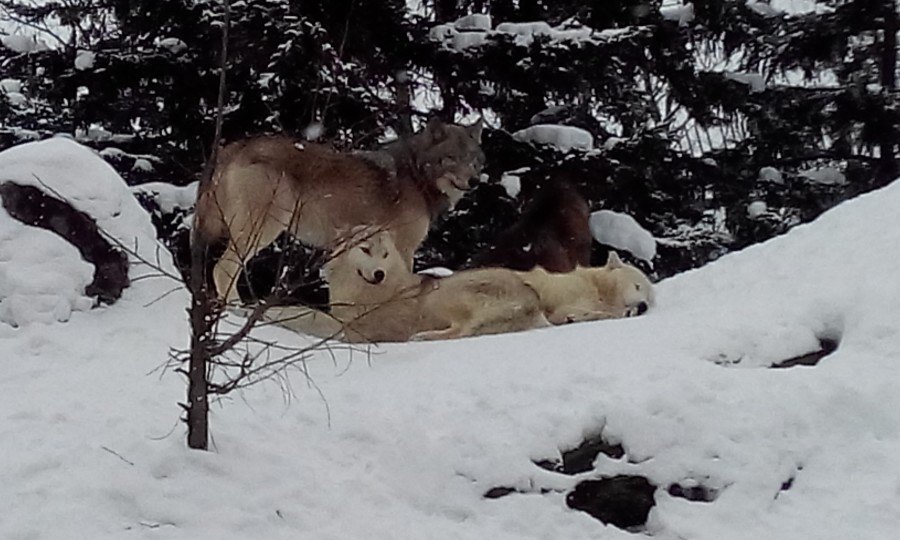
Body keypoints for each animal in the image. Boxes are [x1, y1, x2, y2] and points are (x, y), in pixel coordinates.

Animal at [197, 117, 486, 302]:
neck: (416, 176)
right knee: (222, 270)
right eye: (451, 158)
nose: (474, 182)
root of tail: (234, 147)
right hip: (265, 230)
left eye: (473, 159)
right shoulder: (403, 249)